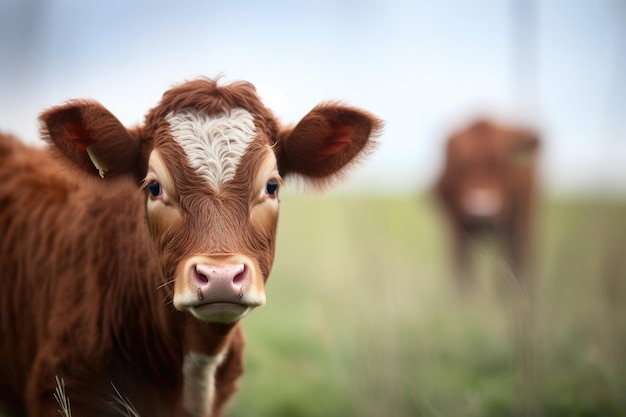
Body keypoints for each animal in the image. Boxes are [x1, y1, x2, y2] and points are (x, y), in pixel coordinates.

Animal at [434, 118, 536, 290]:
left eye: (503, 163)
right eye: (461, 164)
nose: (481, 214)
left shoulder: (511, 228)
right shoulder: (459, 229)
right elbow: (464, 270)